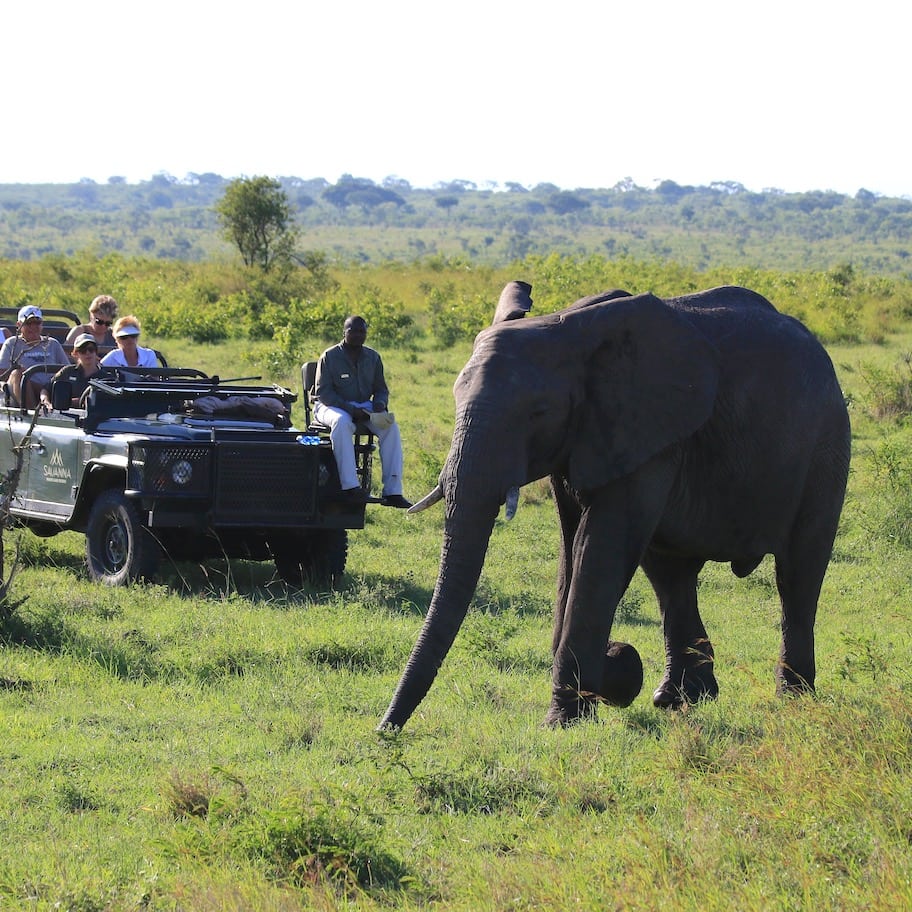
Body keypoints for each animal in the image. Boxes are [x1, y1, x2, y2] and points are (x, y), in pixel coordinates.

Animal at [380, 282, 851, 729]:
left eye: (538, 412)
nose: (384, 732)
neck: (570, 329)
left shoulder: (641, 426)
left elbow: (598, 548)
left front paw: (566, 718)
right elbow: (573, 548)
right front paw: (604, 682)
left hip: (826, 445)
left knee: (798, 573)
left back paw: (792, 699)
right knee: (671, 576)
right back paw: (678, 699)